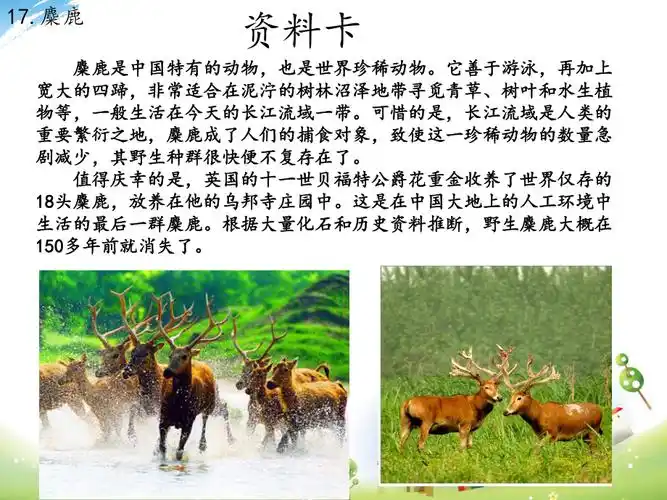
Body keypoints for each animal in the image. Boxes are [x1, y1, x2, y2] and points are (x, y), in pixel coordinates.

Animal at [155, 294, 235, 461]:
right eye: (170, 355)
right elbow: (162, 448)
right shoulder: (163, 417)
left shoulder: (188, 420)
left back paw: (206, 445)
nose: (167, 372)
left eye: (184, 356)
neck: (178, 402)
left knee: (206, 422)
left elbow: (179, 451)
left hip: (210, 405)